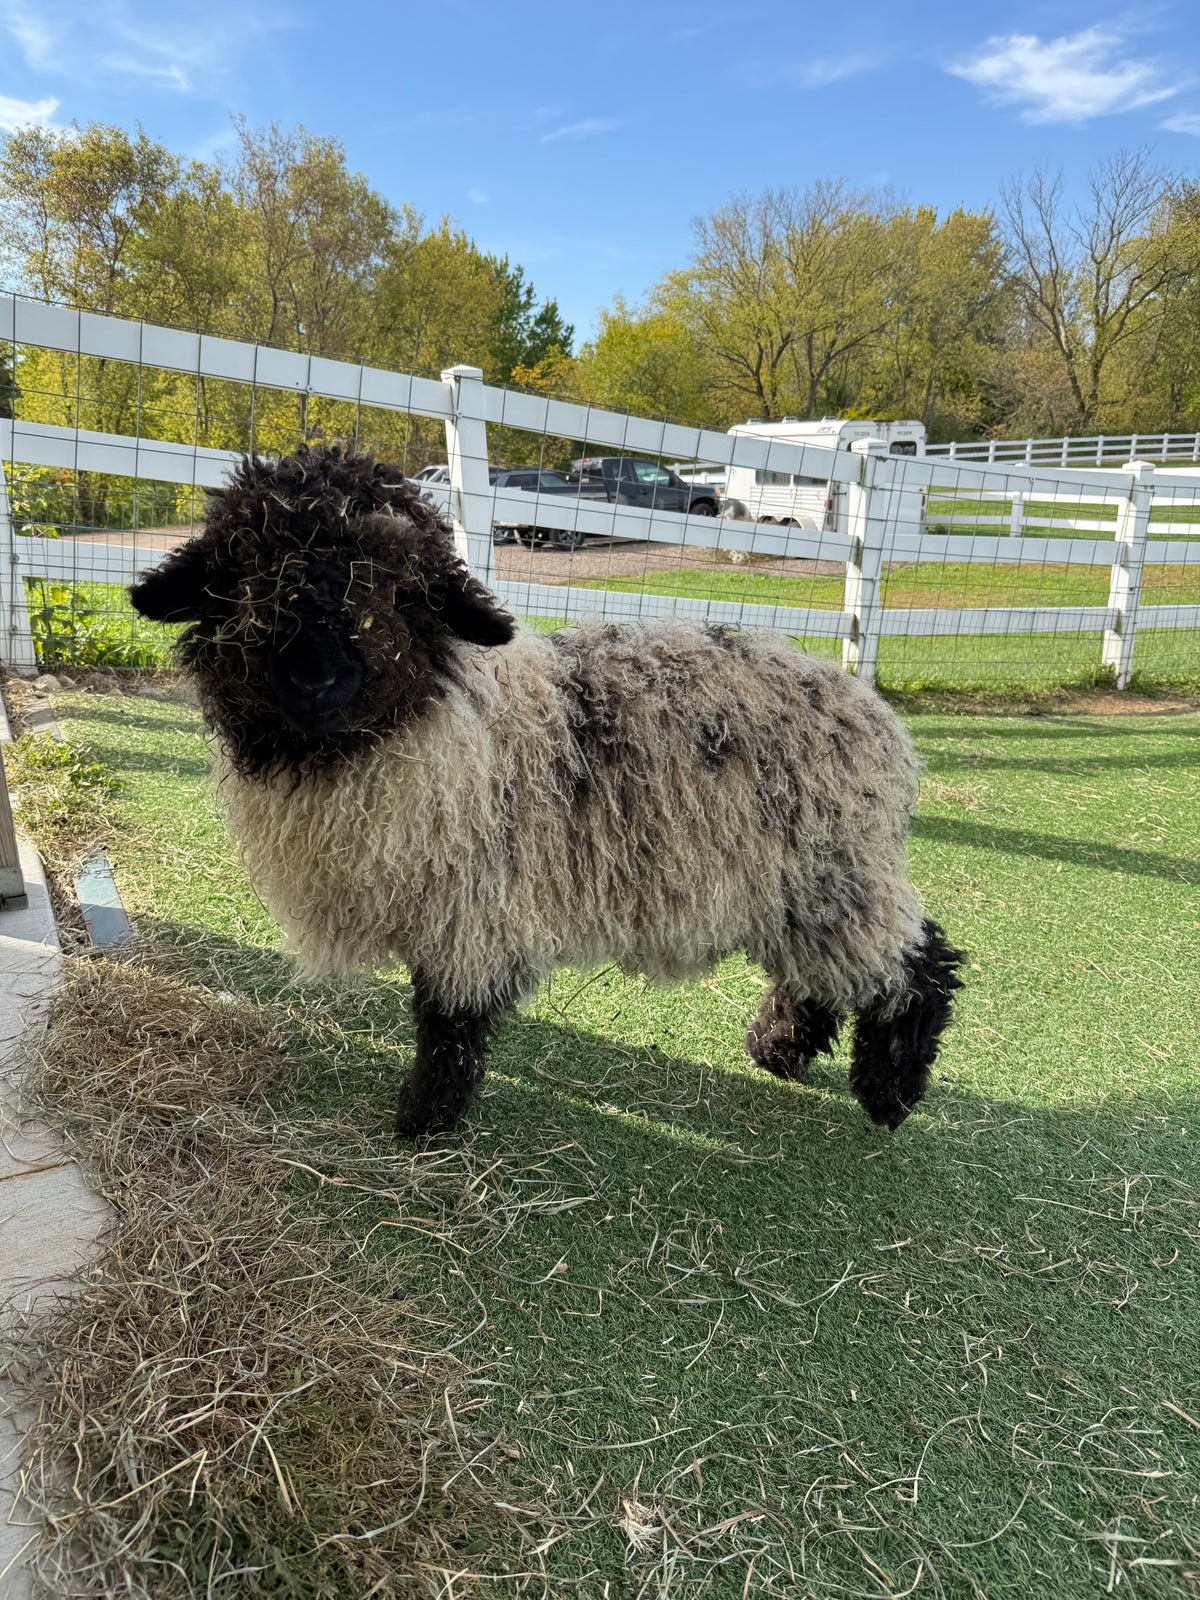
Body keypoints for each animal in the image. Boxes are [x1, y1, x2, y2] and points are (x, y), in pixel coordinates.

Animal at [129, 446, 964, 1139]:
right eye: (241, 573)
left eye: (403, 590)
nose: (313, 676)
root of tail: (879, 722)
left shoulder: (473, 911)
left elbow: (448, 1022)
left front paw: (424, 1119)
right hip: (797, 885)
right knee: (821, 976)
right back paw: (778, 1051)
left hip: (834, 875)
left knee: (920, 964)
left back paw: (889, 1094)